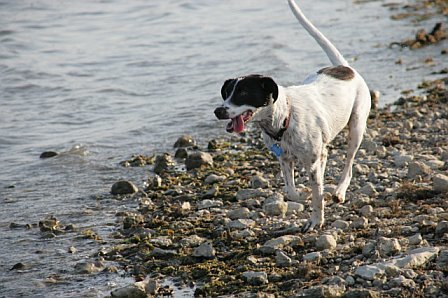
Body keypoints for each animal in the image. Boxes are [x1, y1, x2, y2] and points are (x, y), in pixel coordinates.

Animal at [214, 0, 372, 232]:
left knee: (349, 164)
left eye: (243, 93)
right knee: (325, 157)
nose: (218, 111)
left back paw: (340, 191)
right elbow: (292, 192)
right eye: (226, 93)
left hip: (357, 128)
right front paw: (304, 195)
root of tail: (345, 67)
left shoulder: (310, 163)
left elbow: (317, 197)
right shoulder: (285, 159)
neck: (283, 120)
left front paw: (316, 221)